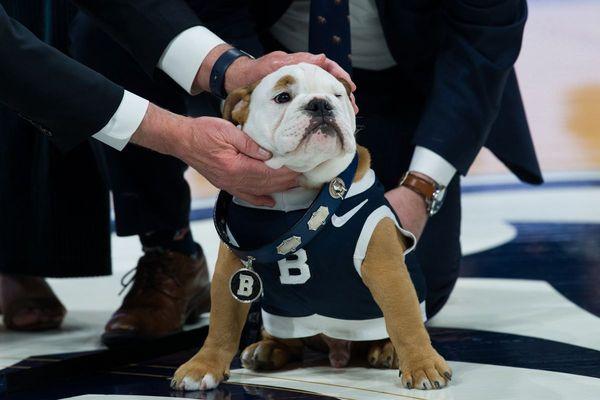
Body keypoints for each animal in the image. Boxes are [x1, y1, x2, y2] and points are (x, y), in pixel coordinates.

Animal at [171, 62, 452, 390]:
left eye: (338, 95)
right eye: (282, 97)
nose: (321, 104)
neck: (298, 193)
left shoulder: (385, 266)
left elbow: (403, 317)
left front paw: (422, 365)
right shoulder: (232, 269)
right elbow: (221, 324)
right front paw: (203, 366)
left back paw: (386, 350)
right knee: (289, 341)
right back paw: (269, 349)